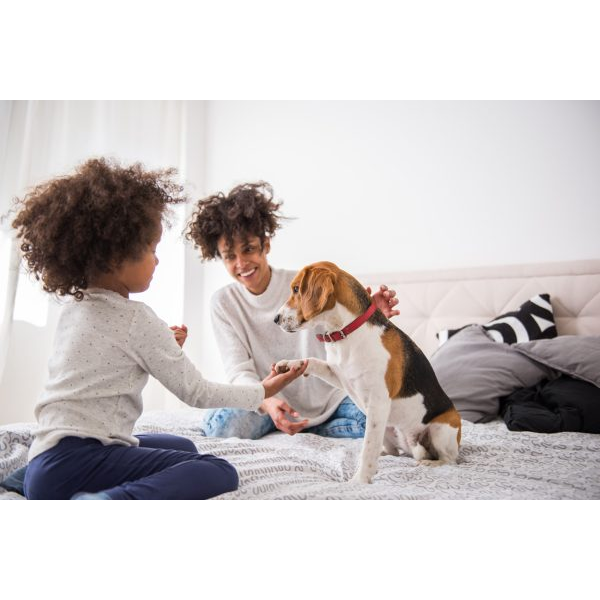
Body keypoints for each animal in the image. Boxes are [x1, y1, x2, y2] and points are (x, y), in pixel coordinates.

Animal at [274, 260, 462, 486]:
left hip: (441, 428)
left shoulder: (378, 402)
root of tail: (411, 445)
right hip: (388, 429)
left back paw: (430, 463)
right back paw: (387, 454)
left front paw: (360, 480)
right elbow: (312, 361)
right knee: (393, 452)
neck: (346, 332)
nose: (275, 319)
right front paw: (290, 365)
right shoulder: (339, 375)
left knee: (450, 460)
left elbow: (368, 448)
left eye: (295, 289)